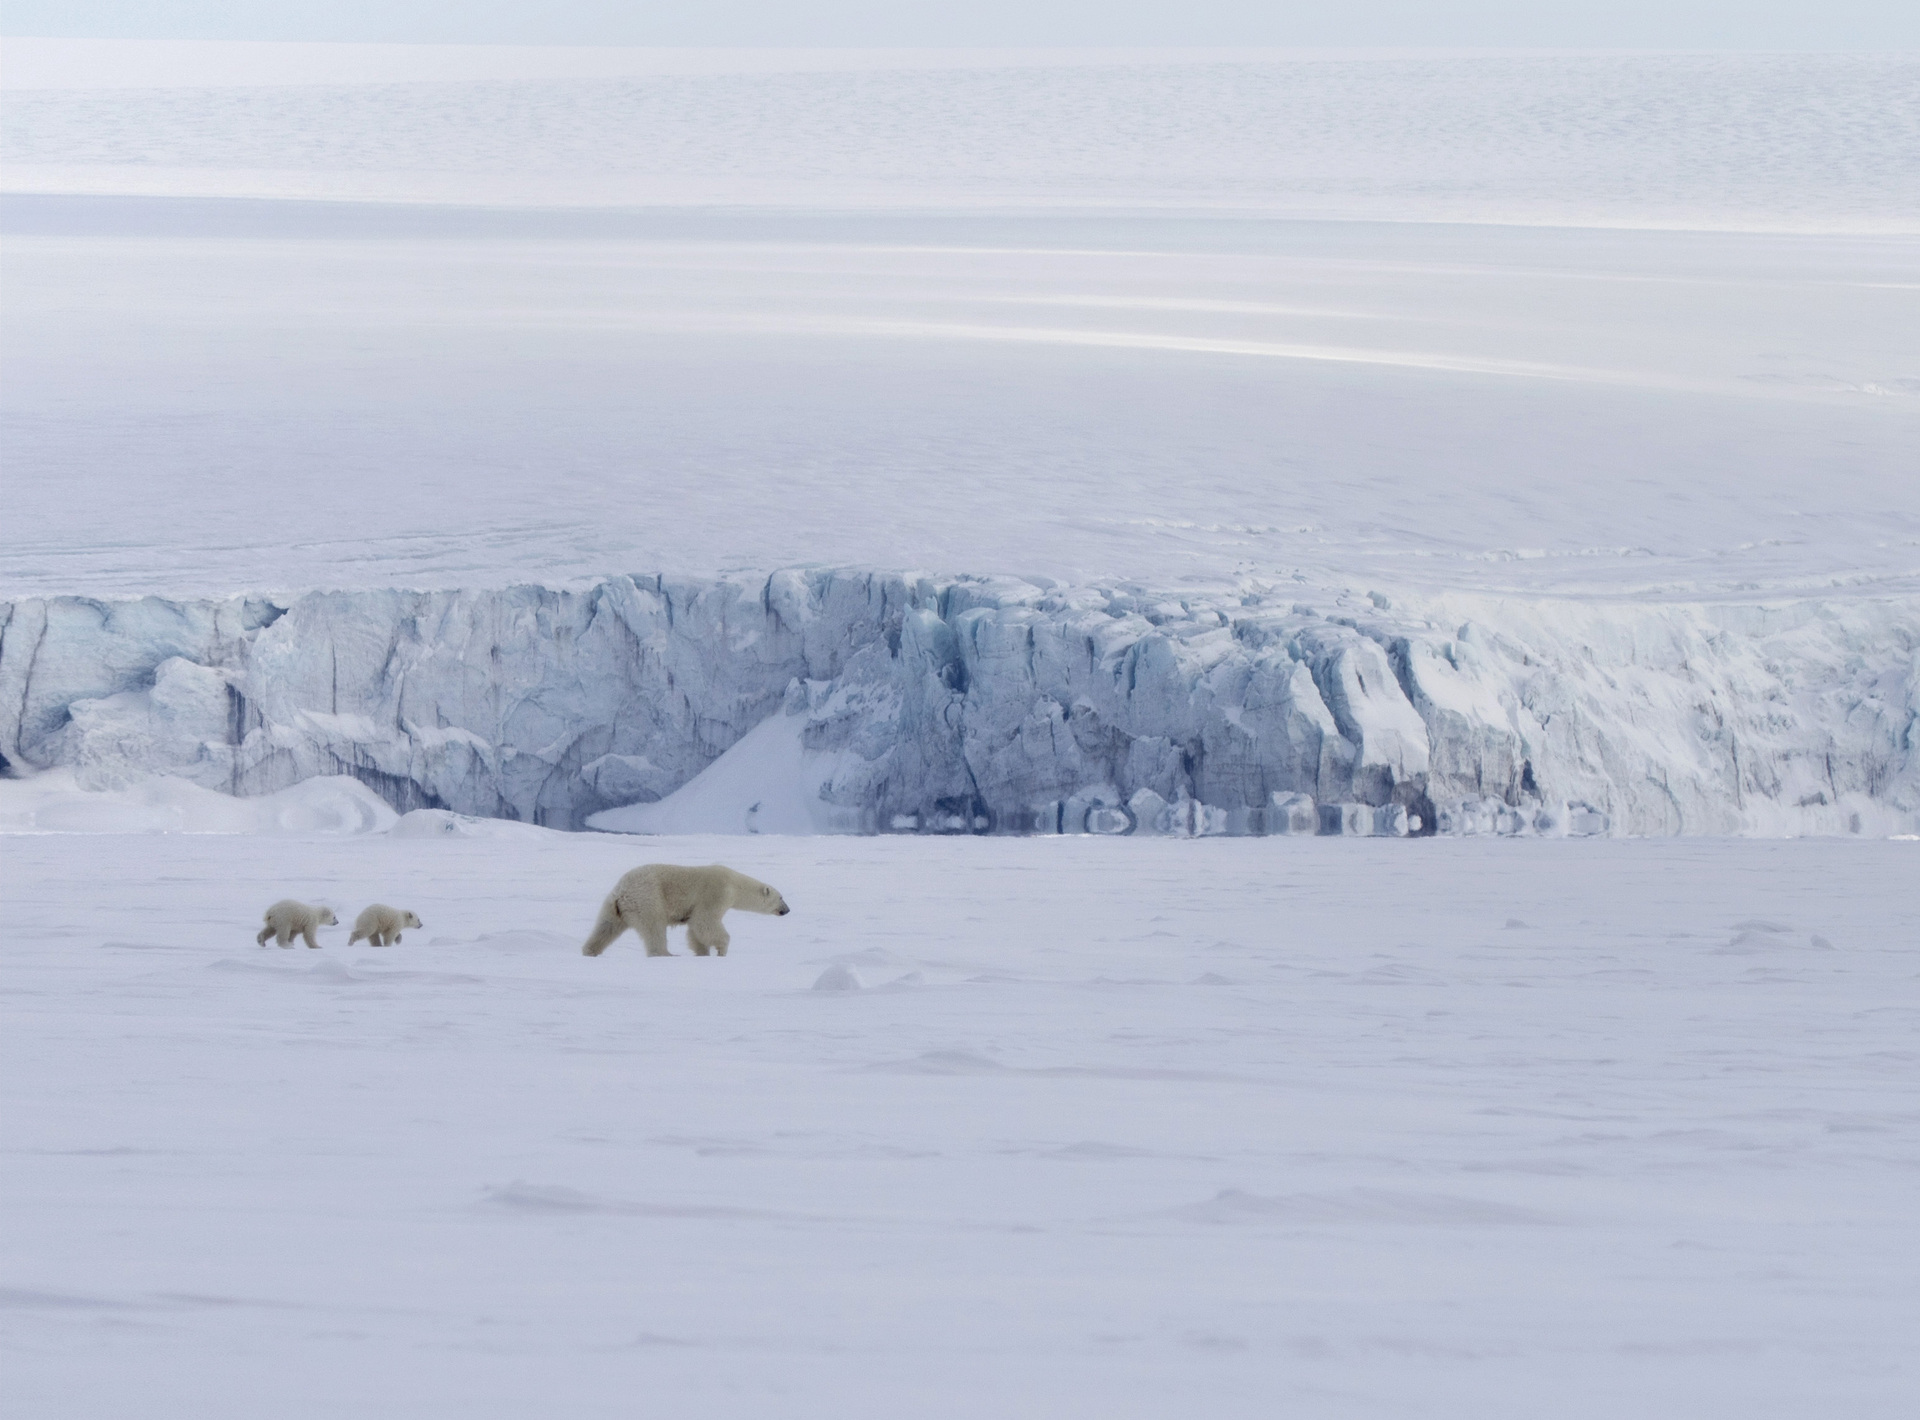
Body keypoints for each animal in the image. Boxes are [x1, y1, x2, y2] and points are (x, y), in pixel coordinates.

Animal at [582, 864, 791, 958]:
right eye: (781, 897)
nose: (787, 910)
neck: (735, 885)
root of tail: (622, 892)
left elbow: (695, 930)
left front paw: (702, 953)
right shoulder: (715, 894)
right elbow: (705, 922)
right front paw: (721, 950)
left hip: (613, 906)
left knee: (606, 926)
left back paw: (590, 950)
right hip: (648, 898)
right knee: (654, 927)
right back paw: (666, 954)